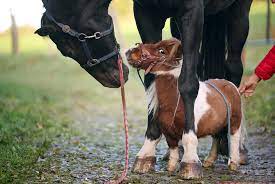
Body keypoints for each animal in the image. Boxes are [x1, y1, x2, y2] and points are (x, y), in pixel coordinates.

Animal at [126, 38, 246, 177]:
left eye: (161, 51)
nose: (130, 51)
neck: (175, 102)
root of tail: (231, 85)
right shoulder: (169, 133)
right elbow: (173, 151)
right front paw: (170, 169)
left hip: (235, 120)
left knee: (234, 138)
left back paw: (234, 163)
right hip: (218, 124)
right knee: (216, 138)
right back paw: (209, 161)